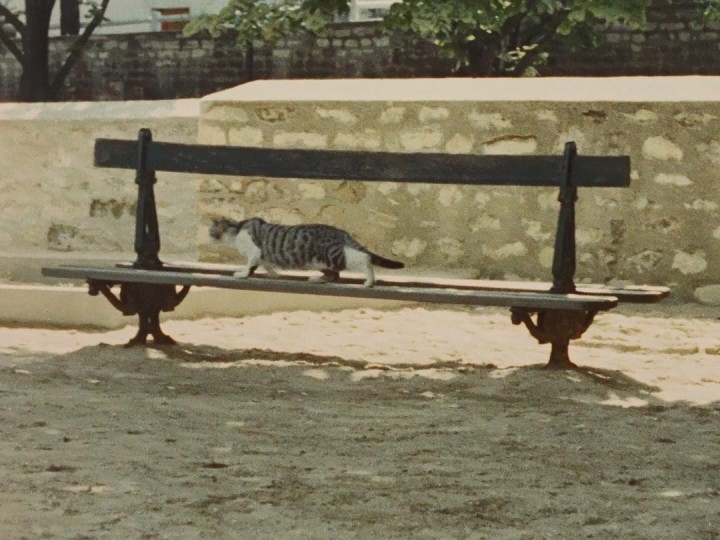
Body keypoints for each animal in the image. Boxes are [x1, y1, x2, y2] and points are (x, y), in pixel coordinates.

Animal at [209, 217, 404, 288]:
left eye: (211, 232)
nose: (208, 237)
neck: (237, 229)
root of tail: (341, 232)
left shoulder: (254, 251)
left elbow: (250, 265)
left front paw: (242, 274)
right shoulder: (262, 256)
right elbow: (265, 264)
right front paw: (273, 273)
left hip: (333, 255)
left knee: (364, 258)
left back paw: (369, 280)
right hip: (321, 261)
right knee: (334, 275)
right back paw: (318, 279)